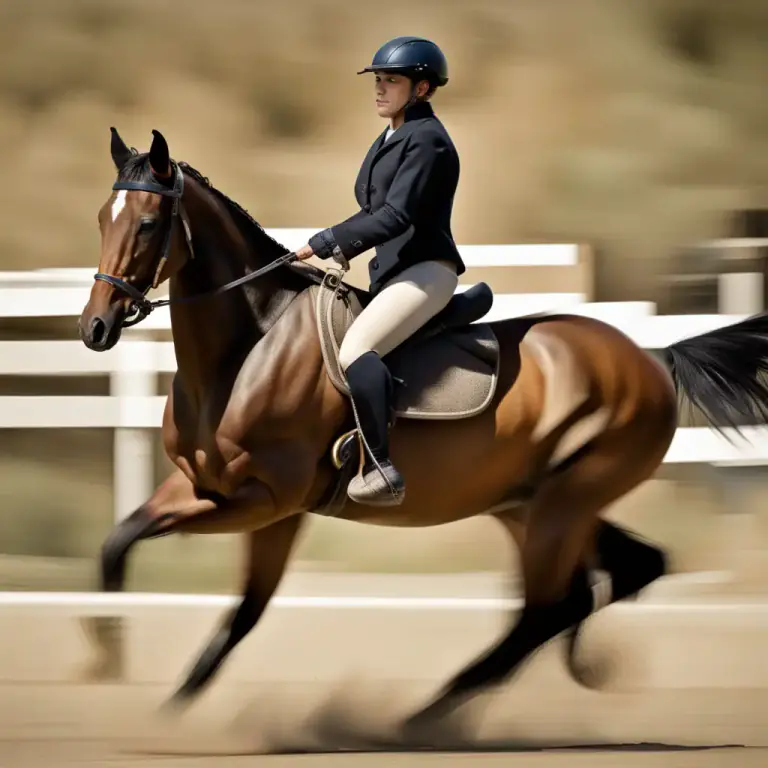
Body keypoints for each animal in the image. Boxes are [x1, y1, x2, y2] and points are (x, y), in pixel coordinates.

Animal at [77, 127, 768, 733]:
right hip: (533, 504)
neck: (251, 346)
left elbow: (243, 613)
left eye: (146, 224)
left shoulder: (265, 503)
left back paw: (422, 717)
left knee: (548, 609)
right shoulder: (207, 487)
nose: (96, 328)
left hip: (563, 506)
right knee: (618, 575)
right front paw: (108, 659)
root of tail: (653, 357)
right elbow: (121, 542)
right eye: (102, 220)